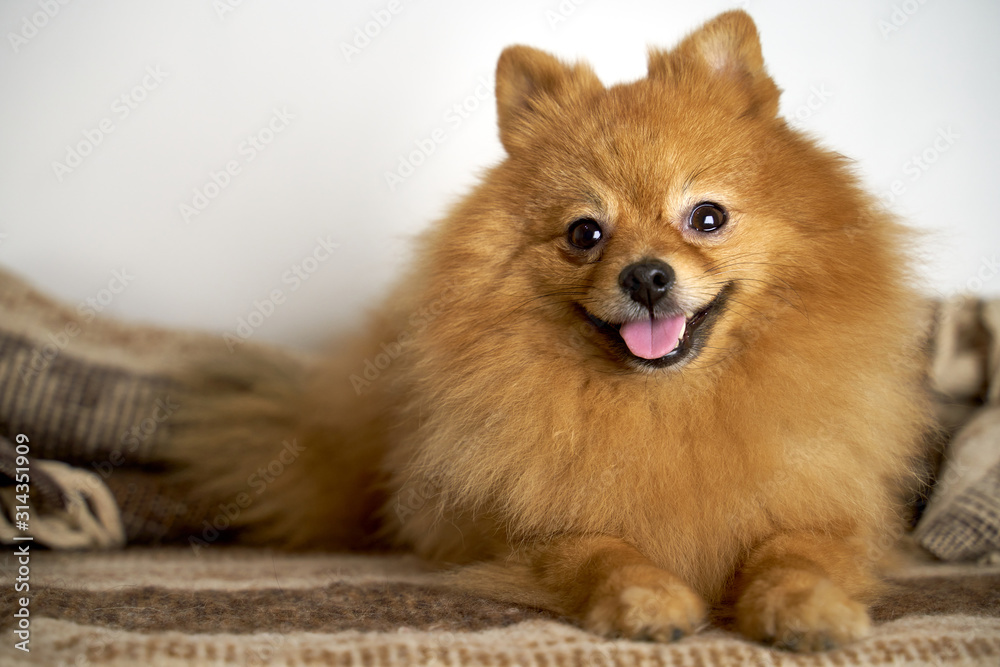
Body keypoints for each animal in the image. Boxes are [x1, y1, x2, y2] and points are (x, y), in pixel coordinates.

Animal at [172, 11, 928, 652]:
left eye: (707, 217)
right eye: (584, 233)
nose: (646, 277)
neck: (666, 404)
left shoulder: (818, 509)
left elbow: (798, 551)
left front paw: (806, 605)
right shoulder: (518, 530)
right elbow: (596, 550)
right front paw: (646, 596)